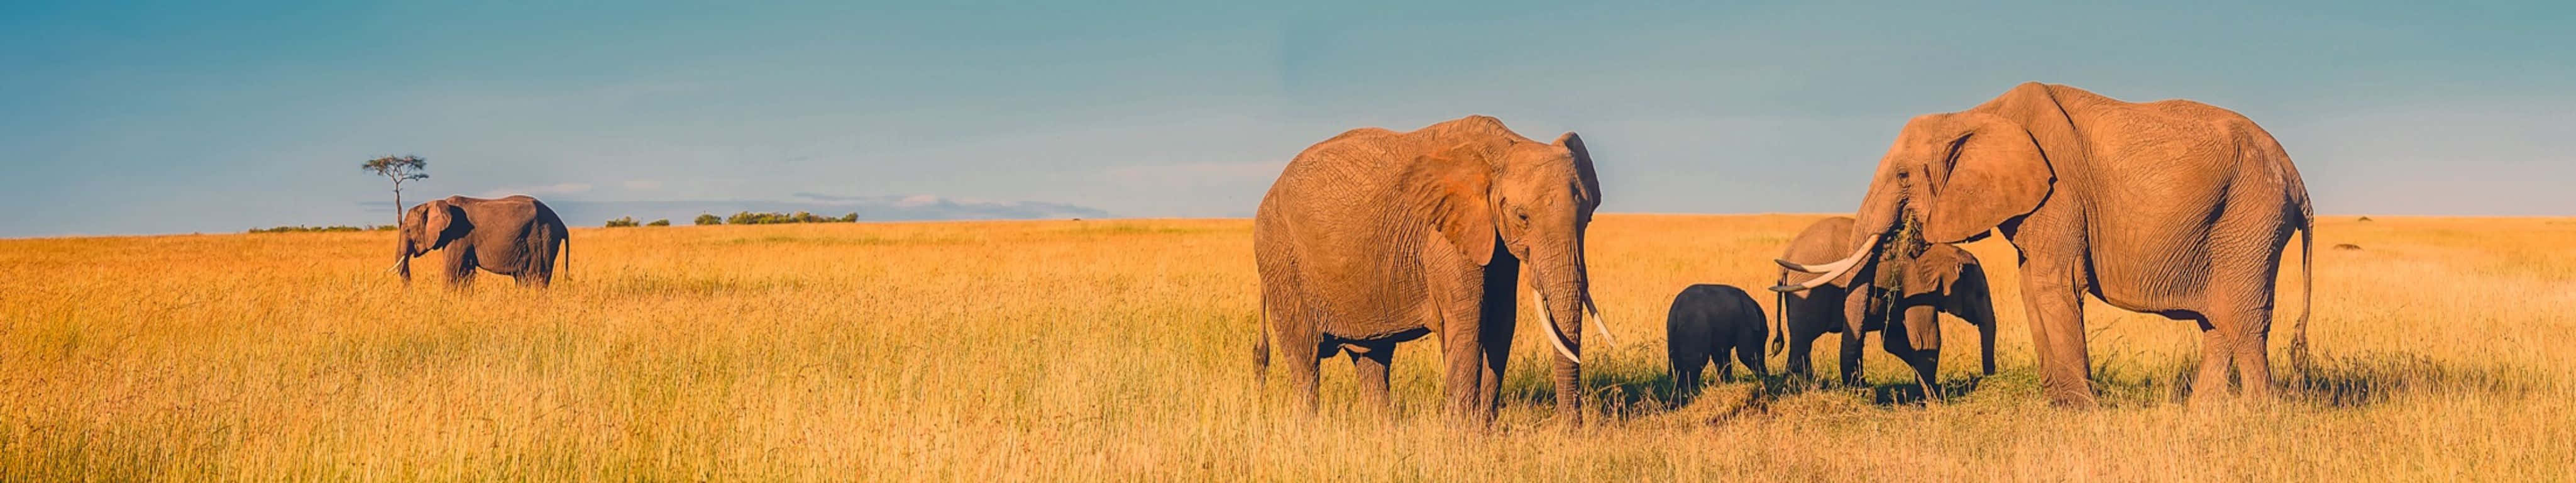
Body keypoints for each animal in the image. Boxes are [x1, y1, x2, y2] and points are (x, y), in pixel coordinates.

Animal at [393, 195, 571, 288]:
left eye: (407, 230)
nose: (410, 291)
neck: (437, 202)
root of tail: (561, 224)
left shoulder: (459, 236)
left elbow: (452, 271)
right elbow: (466, 273)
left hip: (542, 239)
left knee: (537, 278)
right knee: (524, 279)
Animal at [1252, 115, 1610, 423]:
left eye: (1589, 217)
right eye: (1523, 217)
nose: (1572, 430)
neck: (1504, 146)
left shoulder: (1492, 238)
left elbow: (1501, 321)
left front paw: (1484, 429)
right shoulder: (1442, 236)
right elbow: (1468, 321)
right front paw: (1462, 434)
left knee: (1372, 358)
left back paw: (1383, 429)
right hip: (1280, 258)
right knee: (1305, 358)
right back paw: (1309, 426)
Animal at [1665, 284, 1767, 403]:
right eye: (1761, 338)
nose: (1767, 377)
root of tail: (1676, 311)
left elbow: (1721, 357)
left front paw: (1726, 385)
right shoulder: (1745, 325)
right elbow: (1747, 353)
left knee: (1680, 366)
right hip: (1695, 330)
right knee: (1696, 363)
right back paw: (1692, 394)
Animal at [1775, 216, 1997, 396]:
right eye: (1980, 294)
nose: (1989, 376)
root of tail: (1788, 253)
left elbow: (1893, 341)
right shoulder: (1917, 286)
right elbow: (1925, 339)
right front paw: (1934, 398)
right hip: (1809, 292)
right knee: (1803, 339)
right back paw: (1800, 387)